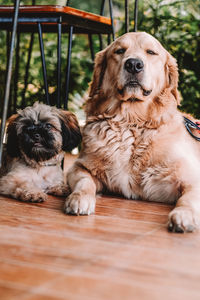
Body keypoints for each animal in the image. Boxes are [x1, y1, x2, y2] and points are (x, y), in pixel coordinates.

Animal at [65, 32, 199, 232]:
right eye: (119, 51)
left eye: (151, 52)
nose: (134, 64)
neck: (131, 122)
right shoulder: (80, 166)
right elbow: (84, 182)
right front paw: (79, 198)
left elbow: (188, 198)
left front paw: (185, 214)